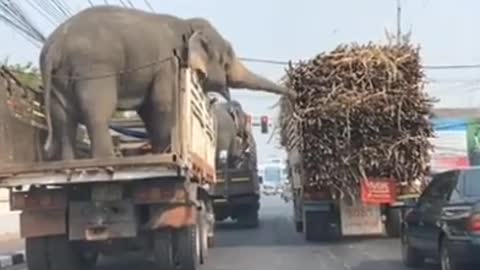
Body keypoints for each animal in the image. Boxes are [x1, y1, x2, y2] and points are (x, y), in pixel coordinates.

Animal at [39, 5, 292, 160]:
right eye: (227, 59)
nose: (292, 93)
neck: (187, 26)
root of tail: (53, 46)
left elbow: (149, 110)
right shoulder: (169, 63)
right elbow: (161, 105)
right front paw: (165, 154)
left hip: (61, 77)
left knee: (63, 118)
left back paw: (68, 163)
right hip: (94, 69)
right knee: (96, 114)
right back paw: (105, 160)